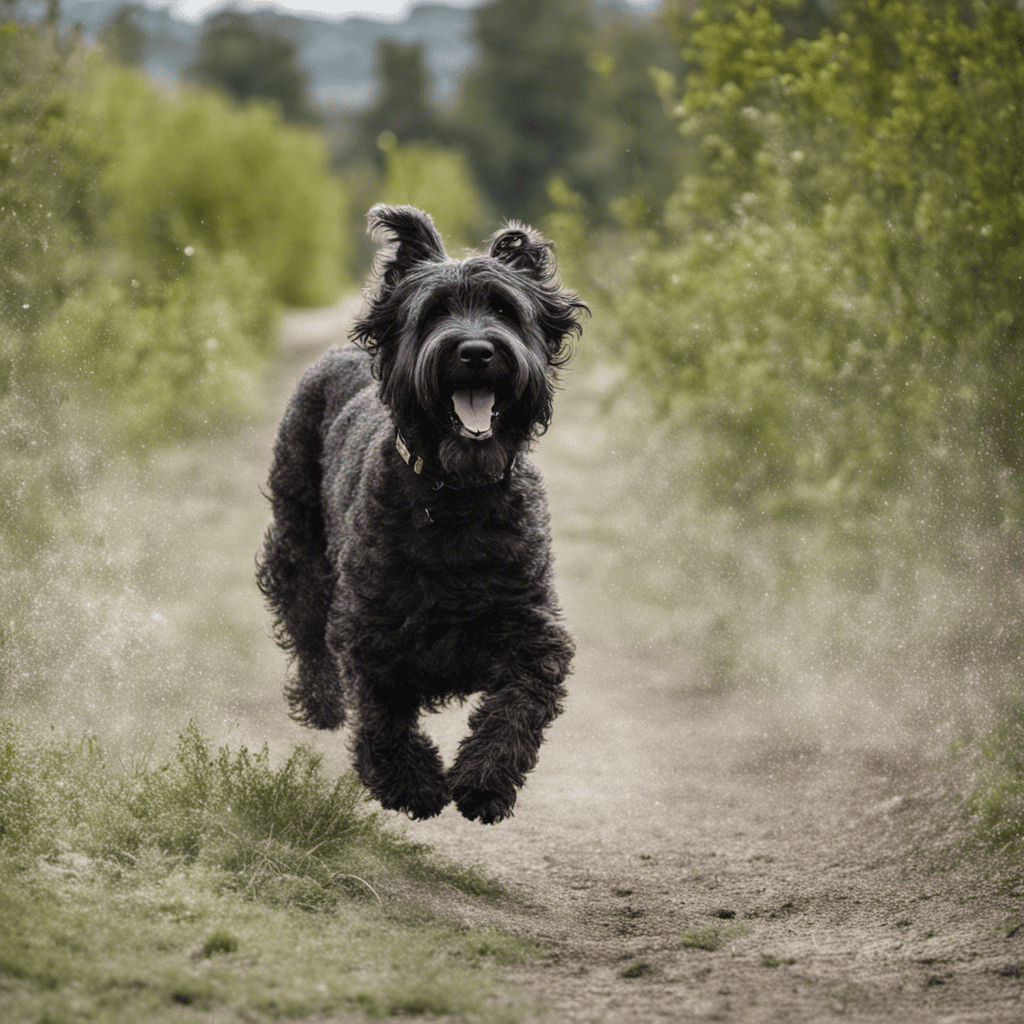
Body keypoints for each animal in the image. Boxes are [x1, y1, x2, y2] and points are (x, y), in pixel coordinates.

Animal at [256, 207, 589, 823]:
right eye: (434, 312)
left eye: (504, 310)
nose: (477, 351)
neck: (456, 498)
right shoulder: (371, 630)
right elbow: (382, 715)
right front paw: (409, 783)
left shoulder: (532, 630)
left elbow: (519, 704)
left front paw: (484, 780)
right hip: (299, 545)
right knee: (306, 628)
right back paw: (322, 702)